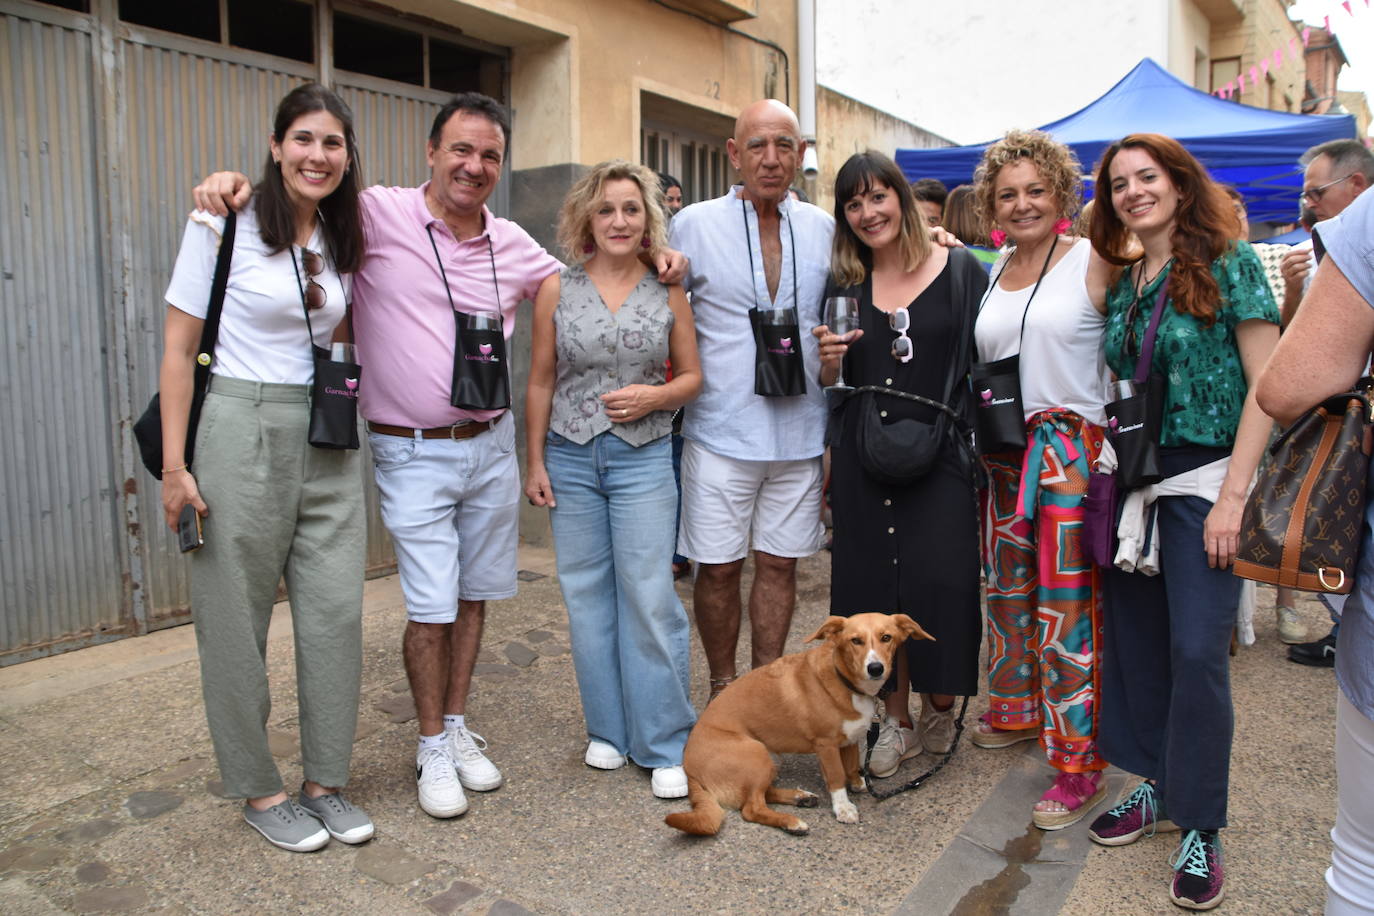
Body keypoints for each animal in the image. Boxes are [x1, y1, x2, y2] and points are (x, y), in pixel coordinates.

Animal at [665, 612, 934, 834]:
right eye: (855, 641)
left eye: (886, 637)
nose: (876, 668)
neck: (844, 680)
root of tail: (690, 769)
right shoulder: (826, 745)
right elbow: (837, 777)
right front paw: (843, 807)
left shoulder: (848, 740)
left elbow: (849, 767)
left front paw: (859, 783)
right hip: (756, 754)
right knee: (751, 809)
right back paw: (791, 822)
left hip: (768, 759)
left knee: (762, 794)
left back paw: (800, 797)